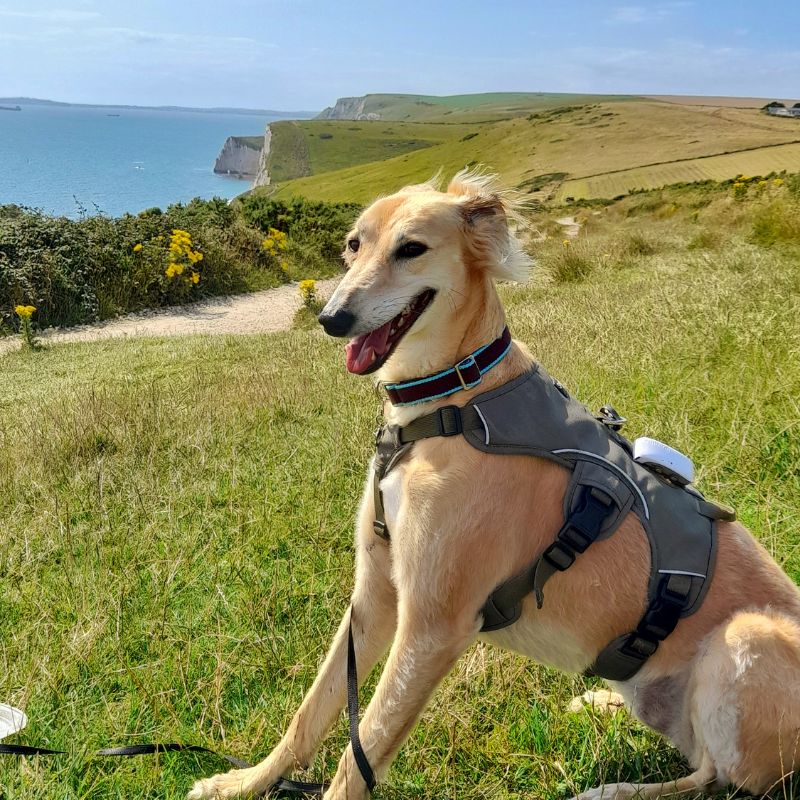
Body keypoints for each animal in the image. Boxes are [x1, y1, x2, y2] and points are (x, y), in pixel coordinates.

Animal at [191, 170, 800, 800]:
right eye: (354, 245)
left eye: (411, 249)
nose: (331, 318)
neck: (453, 403)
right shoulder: (376, 593)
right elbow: (310, 713)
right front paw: (245, 782)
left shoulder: (433, 625)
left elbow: (361, 753)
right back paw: (599, 701)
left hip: (744, 637)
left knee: (717, 777)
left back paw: (616, 791)